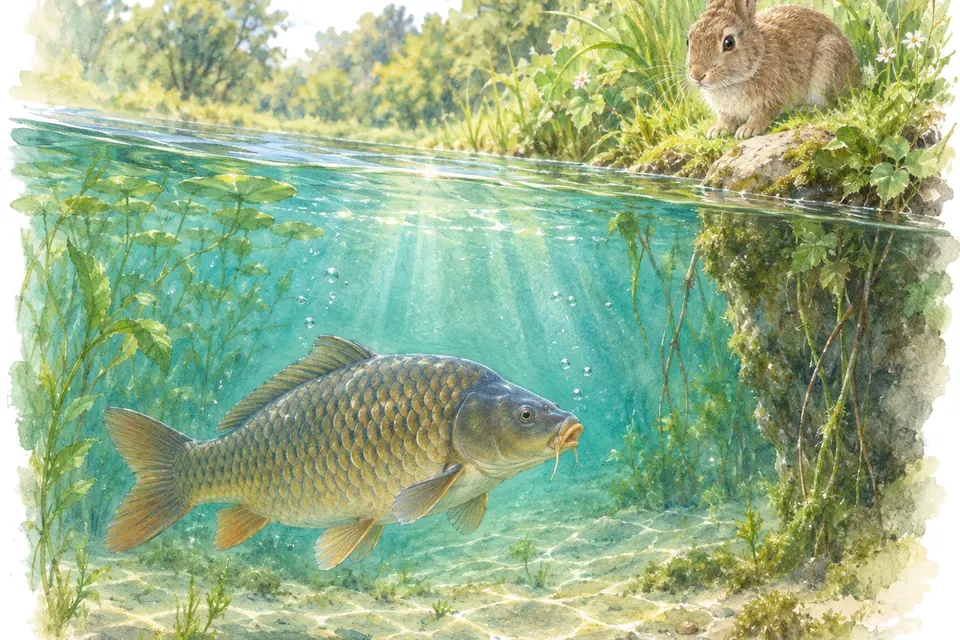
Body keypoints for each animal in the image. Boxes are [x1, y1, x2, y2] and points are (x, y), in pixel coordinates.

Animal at [686, 0, 861, 139]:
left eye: (729, 43)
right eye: (689, 40)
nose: (697, 74)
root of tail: (858, 78)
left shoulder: (771, 100)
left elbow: (762, 114)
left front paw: (748, 129)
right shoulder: (726, 111)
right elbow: (726, 118)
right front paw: (717, 130)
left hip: (828, 62)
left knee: (831, 103)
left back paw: (805, 109)